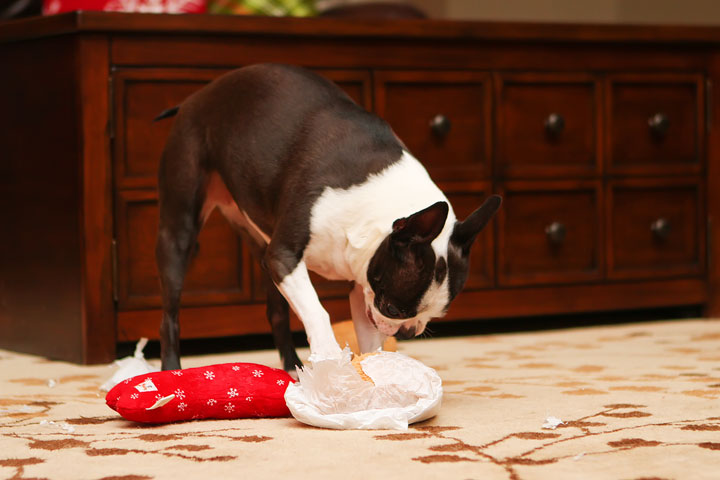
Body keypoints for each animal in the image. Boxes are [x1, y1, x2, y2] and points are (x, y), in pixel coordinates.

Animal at [155, 62, 500, 372]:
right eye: (393, 308)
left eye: (436, 316)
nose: (408, 331)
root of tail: (195, 96)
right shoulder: (284, 257)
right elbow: (318, 311)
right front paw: (330, 358)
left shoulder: (362, 281)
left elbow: (370, 338)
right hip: (180, 229)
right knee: (170, 315)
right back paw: (172, 371)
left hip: (260, 243)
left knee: (277, 312)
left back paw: (292, 367)